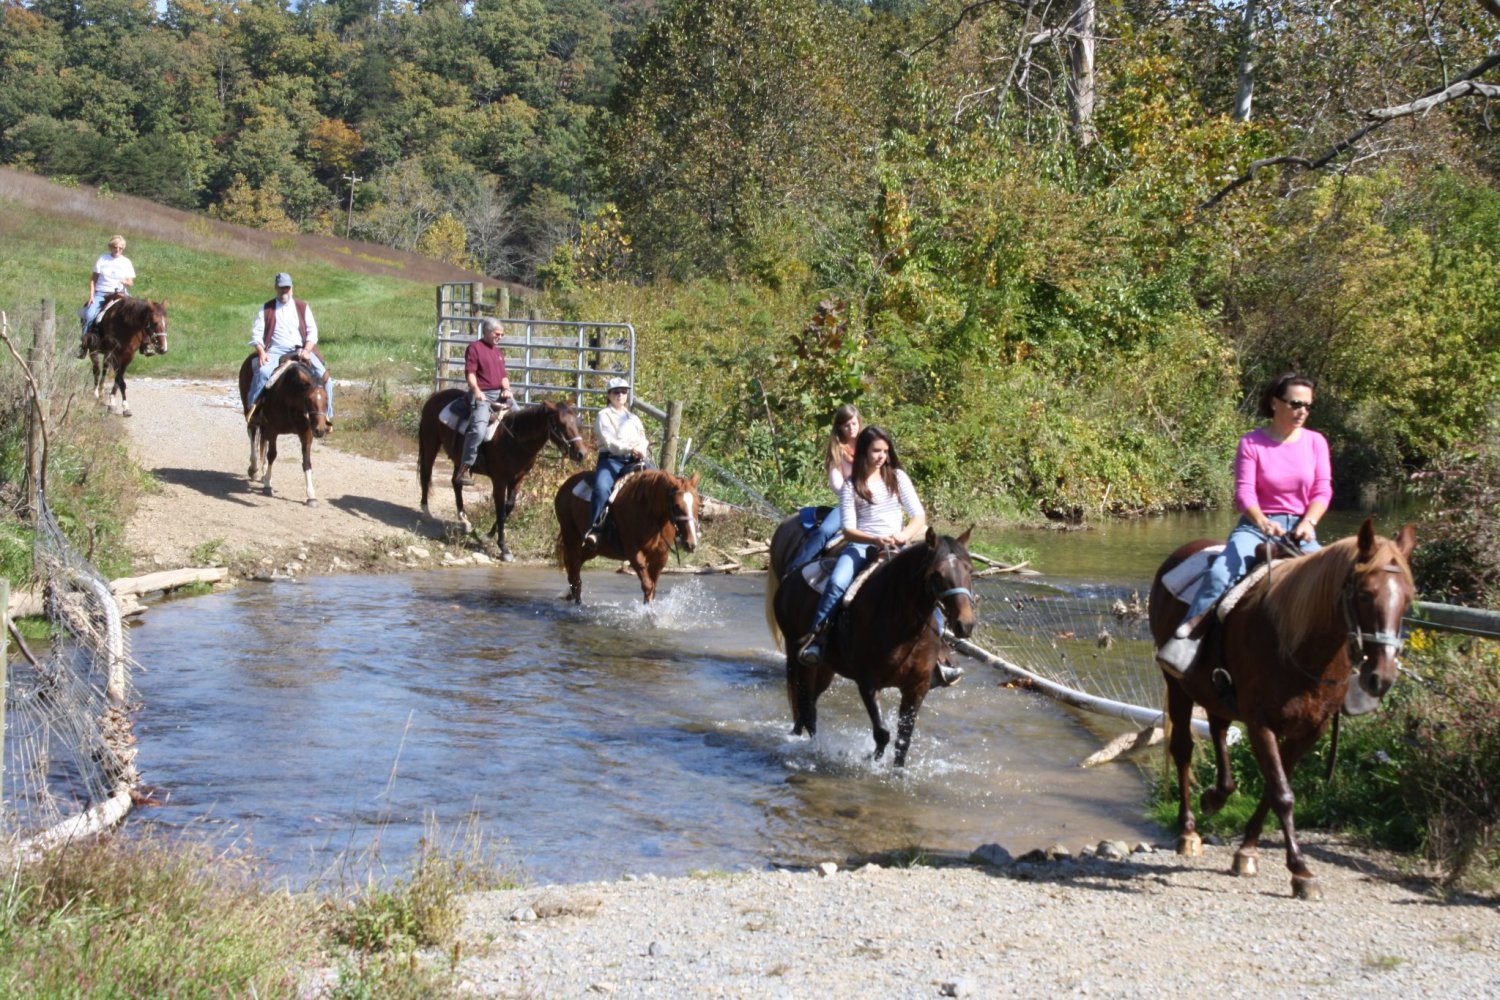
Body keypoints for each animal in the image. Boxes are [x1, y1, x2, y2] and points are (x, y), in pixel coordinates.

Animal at [235, 353, 330, 509]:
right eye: (309, 399)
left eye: (327, 399)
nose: (320, 430)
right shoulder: (273, 429)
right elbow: (272, 455)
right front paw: (268, 486)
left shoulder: (306, 434)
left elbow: (306, 462)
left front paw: (311, 496)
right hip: (252, 415)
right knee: (253, 435)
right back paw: (254, 469)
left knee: (263, 441)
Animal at [423, 392, 591, 563]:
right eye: (560, 424)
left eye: (576, 422)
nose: (581, 454)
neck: (514, 439)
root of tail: (436, 396)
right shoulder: (499, 481)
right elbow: (500, 510)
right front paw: (503, 548)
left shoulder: (517, 479)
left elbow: (508, 508)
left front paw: (487, 536)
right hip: (430, 443)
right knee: (426, 474)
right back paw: (426, 512)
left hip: (459, 459)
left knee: (456, 482)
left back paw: (465, 520)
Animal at [558, 470, 702, 602]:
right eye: (676, 505)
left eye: (698, 504)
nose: (690, 543)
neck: (651, 514)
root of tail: (566, 485)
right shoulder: (634, 554)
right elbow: (648, 586)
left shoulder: (661, 556)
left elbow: (653, 588)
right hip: (571, 538)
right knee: (575, 574)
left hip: (592, 549)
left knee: (575, 569)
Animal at [768, 515, 978, 767]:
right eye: (937, 573)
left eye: (970, 570)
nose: (965, 624)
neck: (904, 627)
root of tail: (793, 575)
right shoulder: (868, 683)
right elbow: (882, 734)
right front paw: (872, 760)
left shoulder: (917, 687)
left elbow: (903, 740)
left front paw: (896, 771)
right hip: (800, 657)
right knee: (806, 704)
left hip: (826, 667)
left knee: (808, 704)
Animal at [1146, 521, 1416, 905]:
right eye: (1365, 594)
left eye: (1408, 597)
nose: (1382, 677)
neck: (1300, 643)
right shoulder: (1261, 722)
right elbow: (1283, 794)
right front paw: (1301, 871)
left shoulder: (1312, 728)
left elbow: (1273, 788)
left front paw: (1247, 850)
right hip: (1178, 685)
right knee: (1183, 750)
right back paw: (1188, 831)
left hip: (1213, 690)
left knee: (1218, 729)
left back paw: (1217, 795)